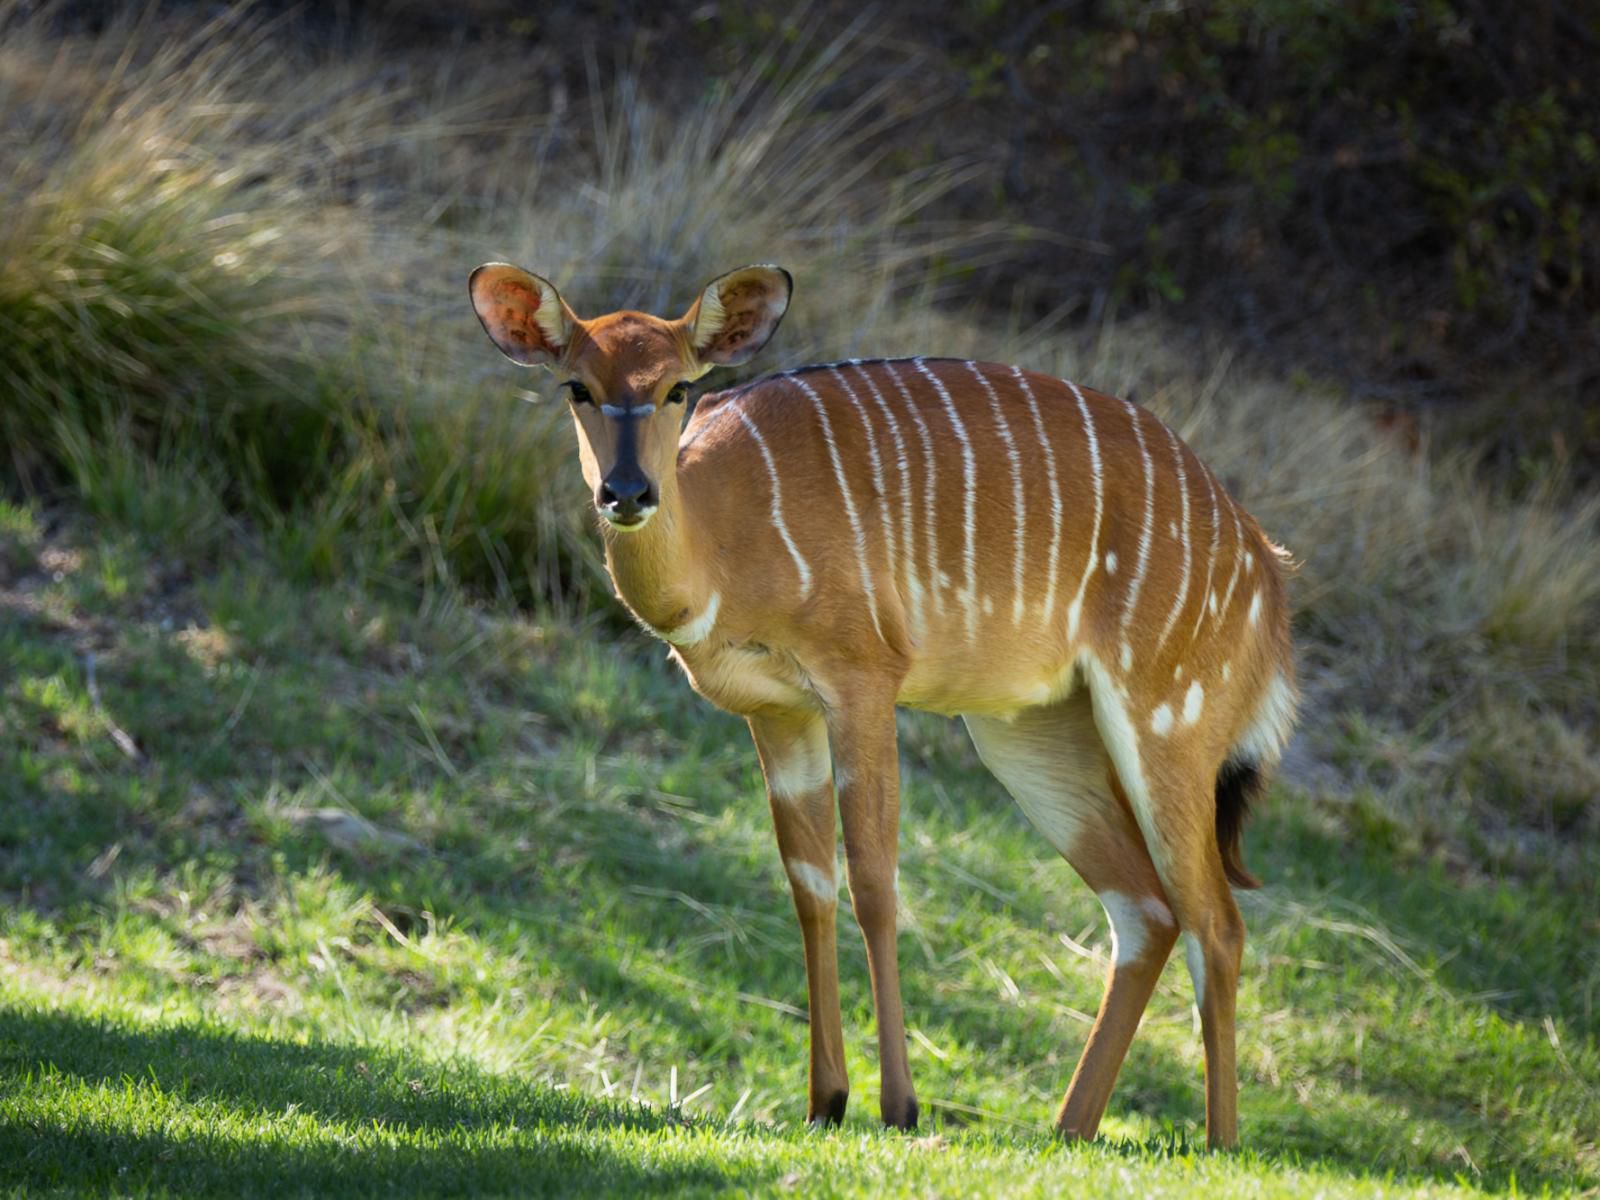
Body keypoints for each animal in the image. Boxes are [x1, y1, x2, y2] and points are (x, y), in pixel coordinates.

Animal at [467, 260, 1292, 1145]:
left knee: (1217, 921)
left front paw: (898, 1106)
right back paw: (1069, 1128)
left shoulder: (861, 677)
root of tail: (1262, 562)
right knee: (1146, 909)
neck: (724, 538)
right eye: (577, 388)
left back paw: (1217, 1144)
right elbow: (808, 883)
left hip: (1166, 718)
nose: (626, 492)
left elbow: (873, 880)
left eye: (679, 386)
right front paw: (824, 1100)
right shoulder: (777, 712)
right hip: (1031, 734)